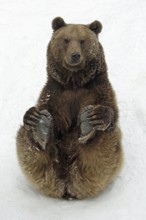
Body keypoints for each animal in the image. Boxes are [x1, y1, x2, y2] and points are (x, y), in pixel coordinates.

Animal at [16, 16, 122, 199]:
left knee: (101, 148)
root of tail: (66, 184)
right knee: (28, 142)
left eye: (82, 40)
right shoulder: (55, 94)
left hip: (96, 166)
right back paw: (39, 126)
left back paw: (88, 124)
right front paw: (38, 119)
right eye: (66, 40)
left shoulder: (98, 88)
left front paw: (97, 116)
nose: (75, 55)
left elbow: (111, 110)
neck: (74, 82)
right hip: (50, 167)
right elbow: (52, 117)